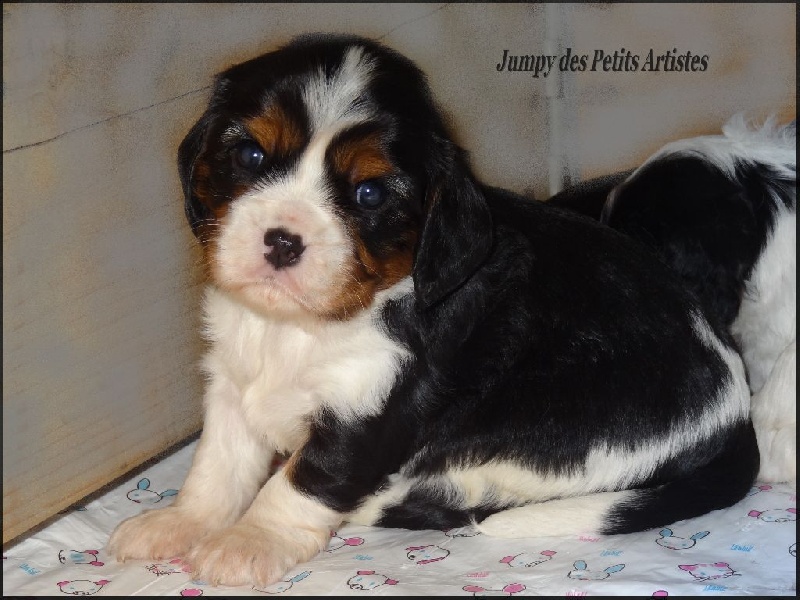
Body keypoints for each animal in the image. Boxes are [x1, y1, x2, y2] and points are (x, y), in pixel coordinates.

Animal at [107, 34, 759, 587]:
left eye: (370, 193)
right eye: (249, 155)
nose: (283, 241)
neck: (298, 328)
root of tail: (736, 411)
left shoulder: (369, 406)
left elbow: (304, 480)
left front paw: (248, 542)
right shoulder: (232, 380)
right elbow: (218, 463)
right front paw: (180, 523)